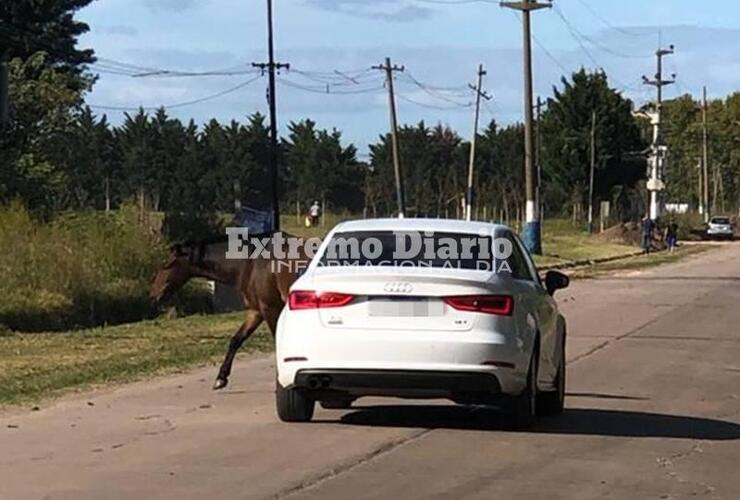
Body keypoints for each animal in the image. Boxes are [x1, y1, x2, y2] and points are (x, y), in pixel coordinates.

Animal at [150, 234, 306, 390]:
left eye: (168, 263)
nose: (154, 293)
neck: (253, 264)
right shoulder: (256, 311)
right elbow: (236, 340)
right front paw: (221, 378)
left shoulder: (271, 308)